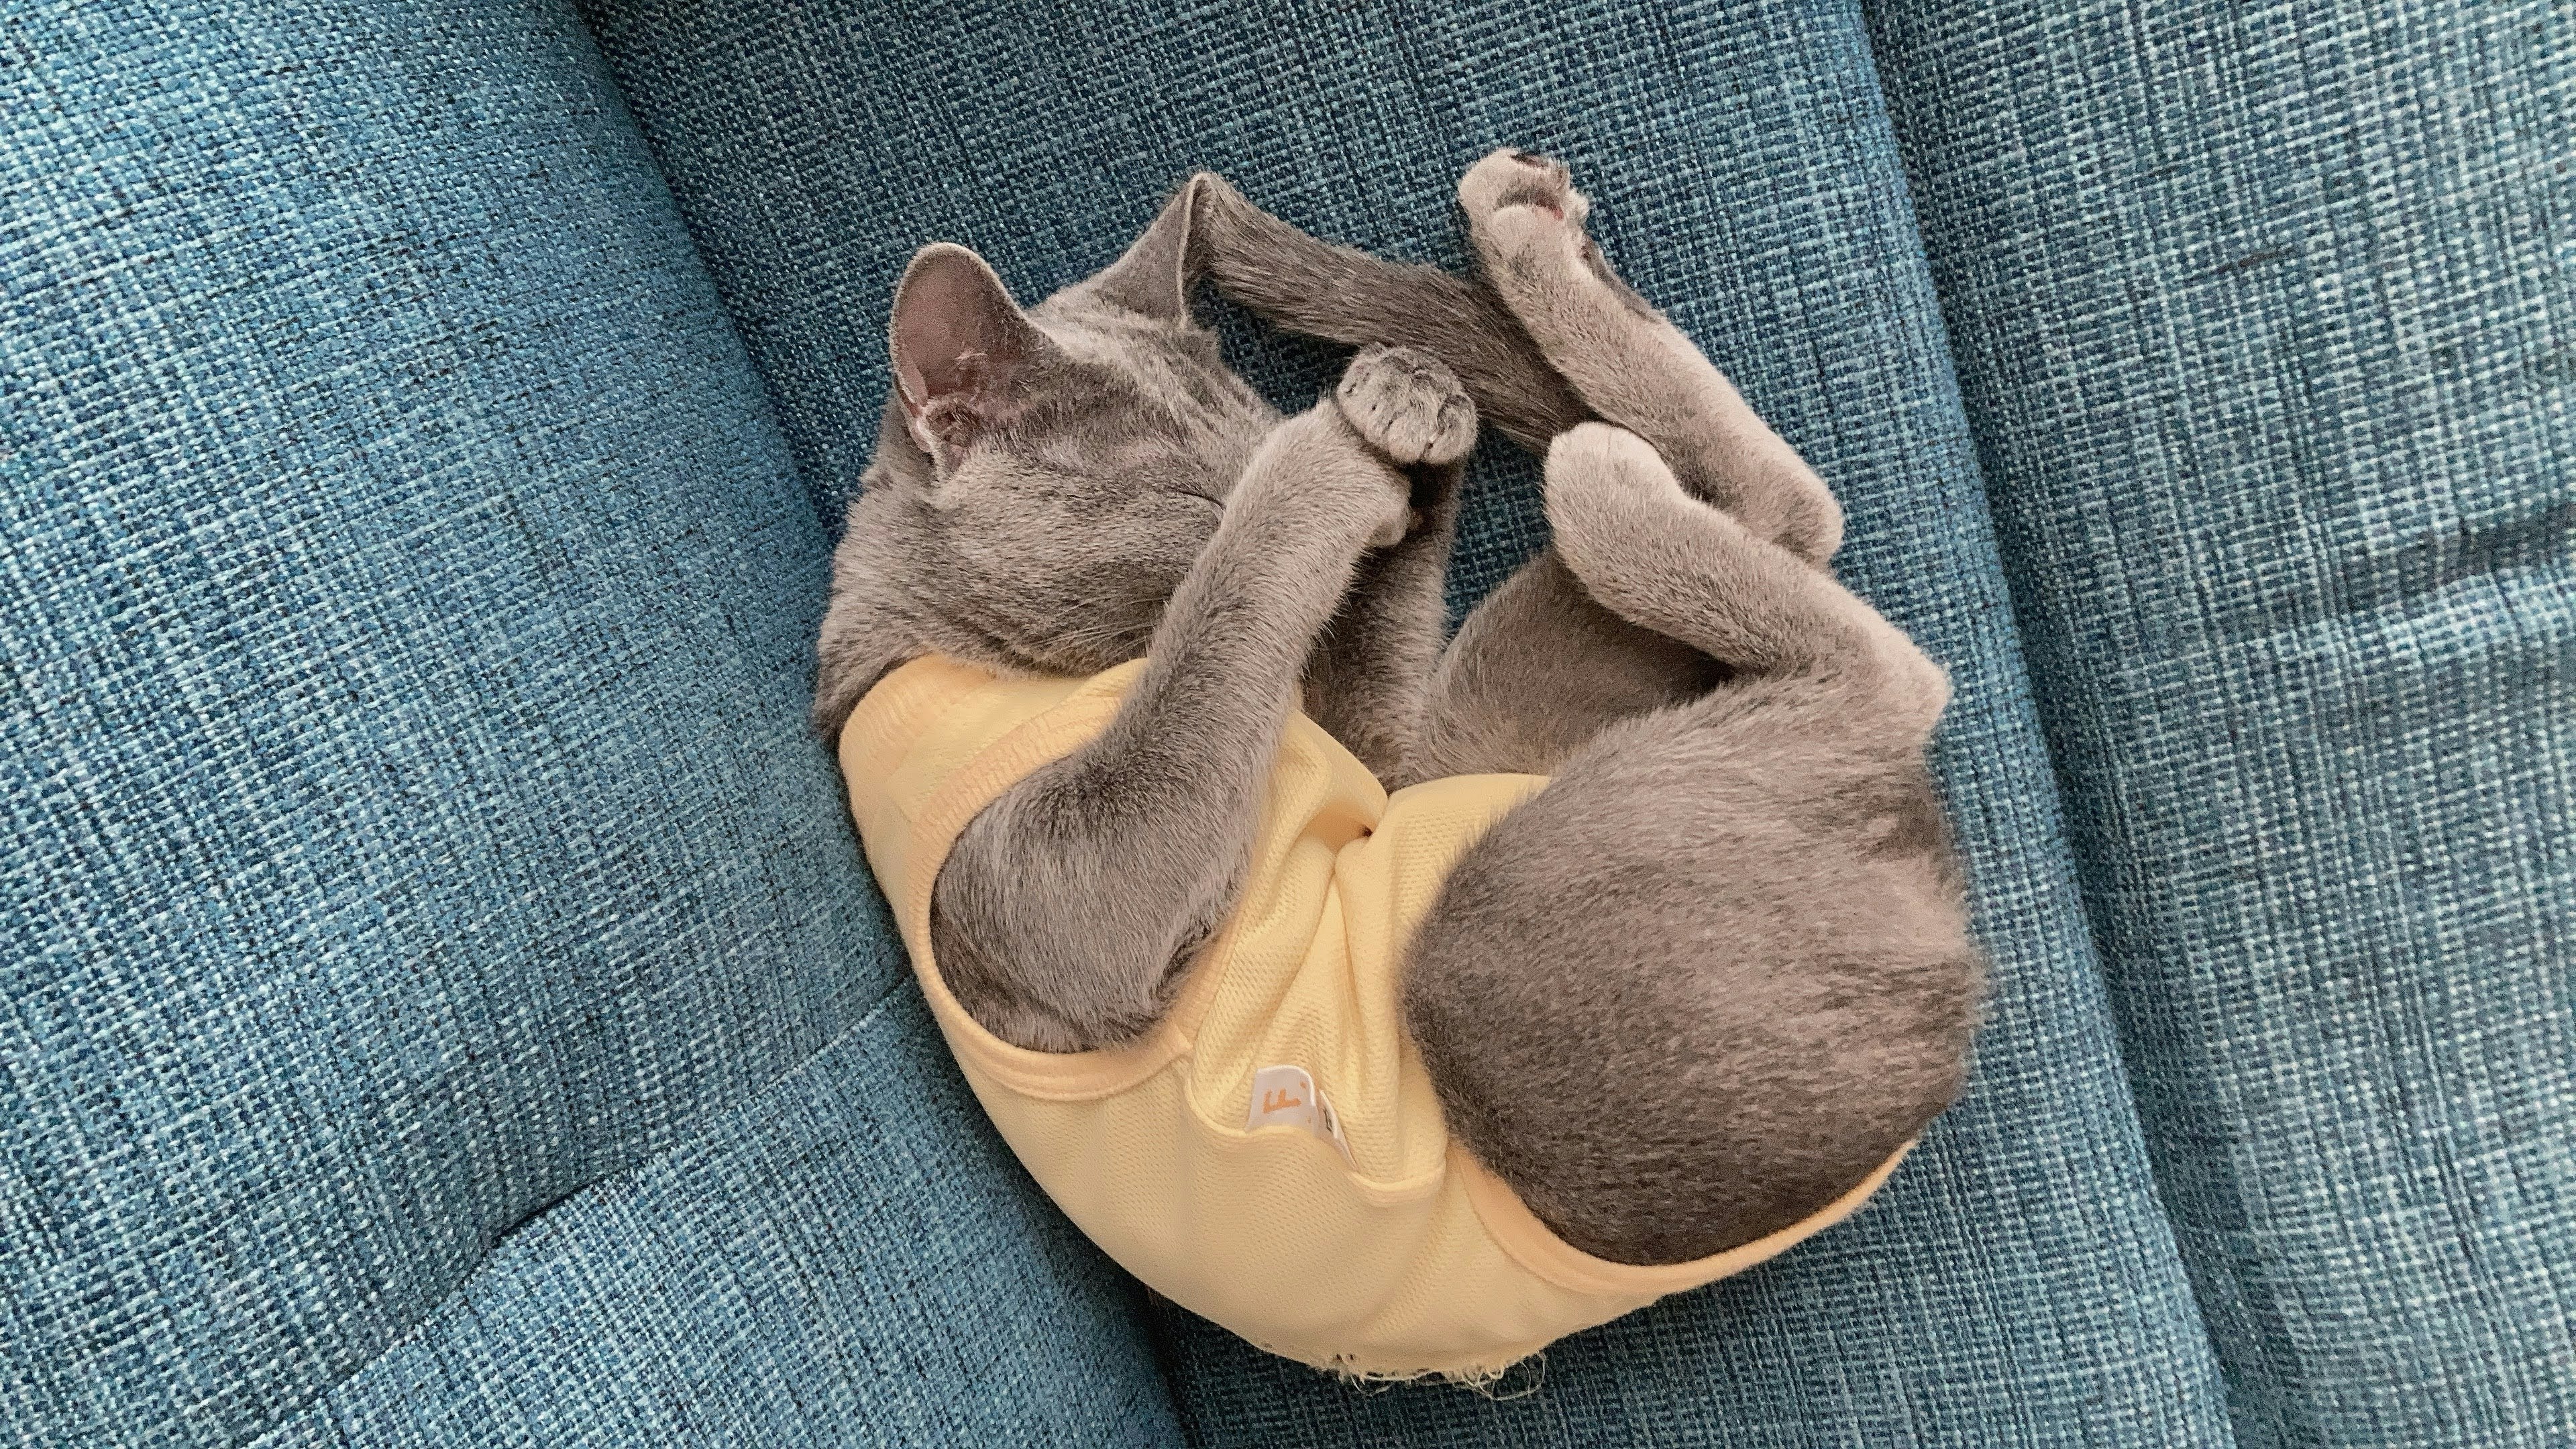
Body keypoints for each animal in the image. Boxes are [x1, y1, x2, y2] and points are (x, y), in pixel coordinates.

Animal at [814, 149, 1978, 1371]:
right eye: (1190, 496)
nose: (1319, 432)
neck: (968, 658)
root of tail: (1935, 923)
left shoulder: (1366, 740)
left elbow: (1345, 653)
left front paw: (1412, 411)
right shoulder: (1055, 887)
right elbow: (1216, 643)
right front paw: (1338, 449)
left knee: (1794, 525)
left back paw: (1516, 232)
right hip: (1497, 917)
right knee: (1864, 643)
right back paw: (1590, 437)